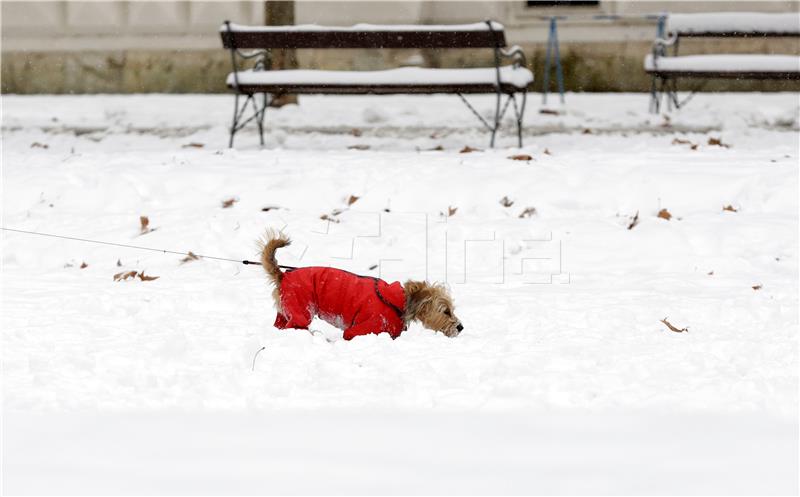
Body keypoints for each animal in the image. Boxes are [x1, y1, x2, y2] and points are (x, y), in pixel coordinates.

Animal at [260, 231, 462, 340]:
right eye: (446, 311)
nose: (461, 327)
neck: (400, 301)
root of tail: (283, 275)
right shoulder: (359, 330)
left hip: (284, 314)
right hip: (300, 312)